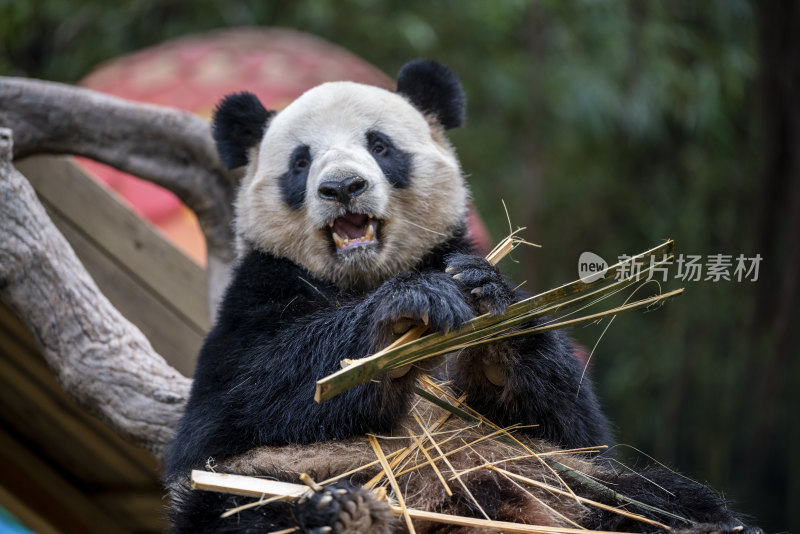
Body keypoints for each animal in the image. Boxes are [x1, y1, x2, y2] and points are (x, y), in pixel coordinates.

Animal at [166, 60, 760, 532]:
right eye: (300, 162)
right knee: (239, 509)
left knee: (656, 498)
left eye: (379, 145)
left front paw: (490, 311)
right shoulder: (254, 300)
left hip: (563, 480)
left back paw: (714, 525)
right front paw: (403, 315)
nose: (342, 188)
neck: (363, 277)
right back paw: (342, 514)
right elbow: (234, 407)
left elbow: (572, 423)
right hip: (292, 472)